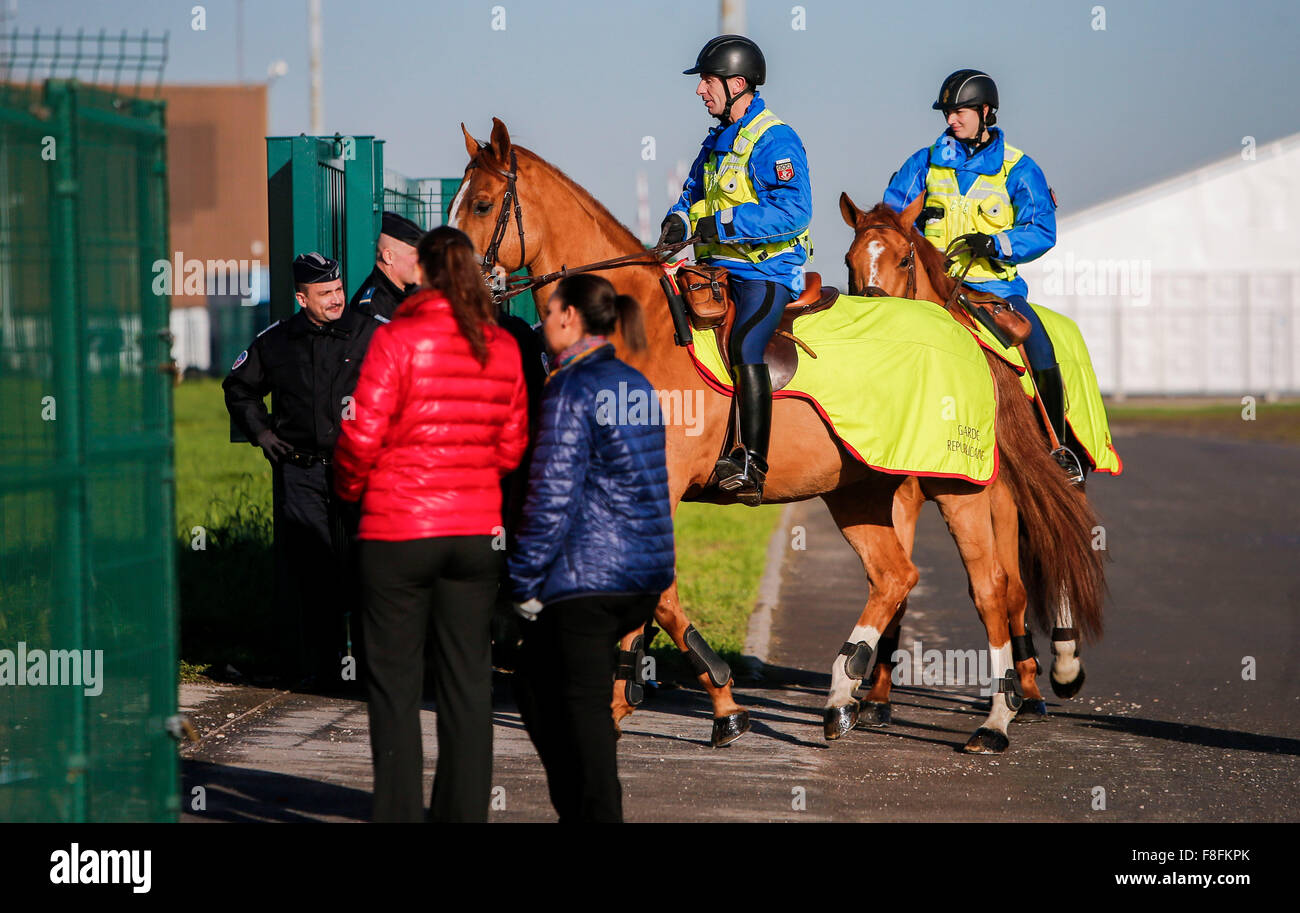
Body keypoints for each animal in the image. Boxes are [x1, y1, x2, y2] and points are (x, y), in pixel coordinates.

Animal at [837, 195, 1102, 723]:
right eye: (850, 260)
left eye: (903, 260)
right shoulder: (902, 496)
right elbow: (899, 587)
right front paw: (876, 697)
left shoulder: (998, 497)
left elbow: (1008, 588)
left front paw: (1024, 688)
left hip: (1056, 482)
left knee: (1048, 560)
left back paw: (1056, 671)